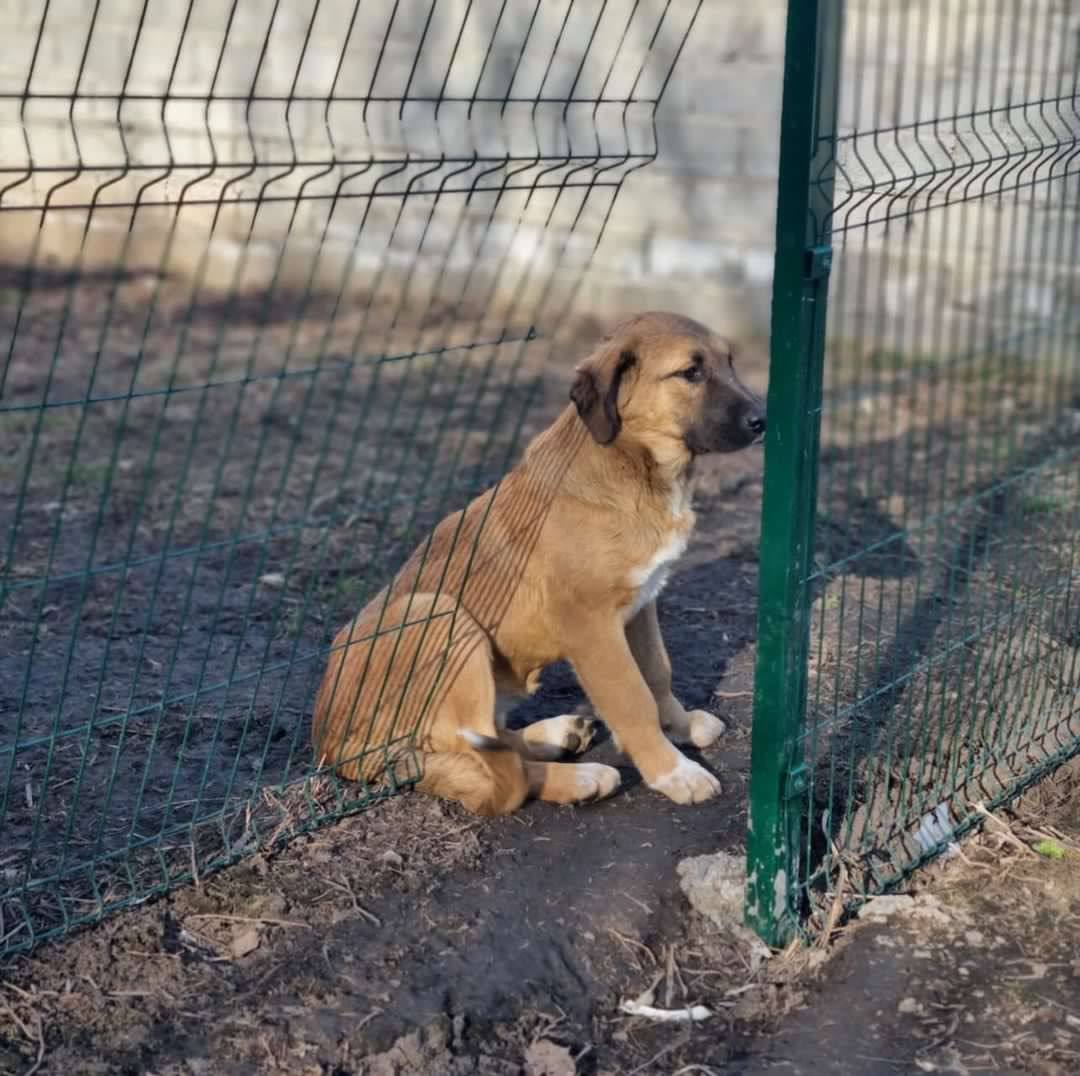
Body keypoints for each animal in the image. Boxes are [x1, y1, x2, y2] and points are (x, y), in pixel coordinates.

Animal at [313, 311, 768, 816]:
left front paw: (680, 726)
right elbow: (633, 698)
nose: (762, 421)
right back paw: (581, 777)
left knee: (490, 744)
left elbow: (657, 673)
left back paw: (559, 735)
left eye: (729, 362)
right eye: (691, 372)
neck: (635, 467)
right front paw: (673, 772)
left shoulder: (642, 604)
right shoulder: (591, 626)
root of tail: (333, 745)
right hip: (435, 613)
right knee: (485, 766)